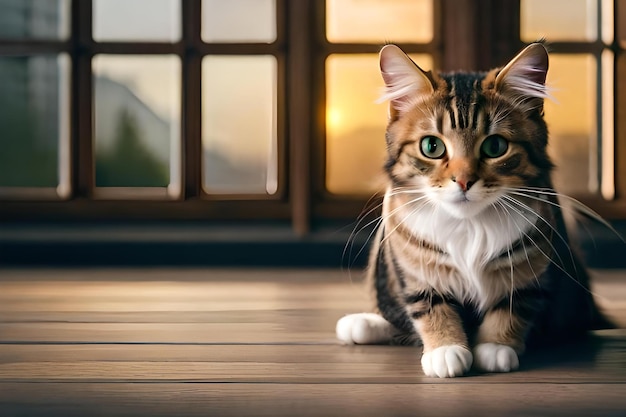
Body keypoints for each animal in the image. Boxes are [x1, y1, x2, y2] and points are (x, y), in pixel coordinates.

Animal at [334, 43, 612, 376]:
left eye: (495, 147)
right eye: (431, 147)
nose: (464, 181)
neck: (469, 226)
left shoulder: (530, 268)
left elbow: (512, 307)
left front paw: (494, 347)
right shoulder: (415, 270)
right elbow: (430, 307)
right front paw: (445, 350)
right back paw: (362, 324)